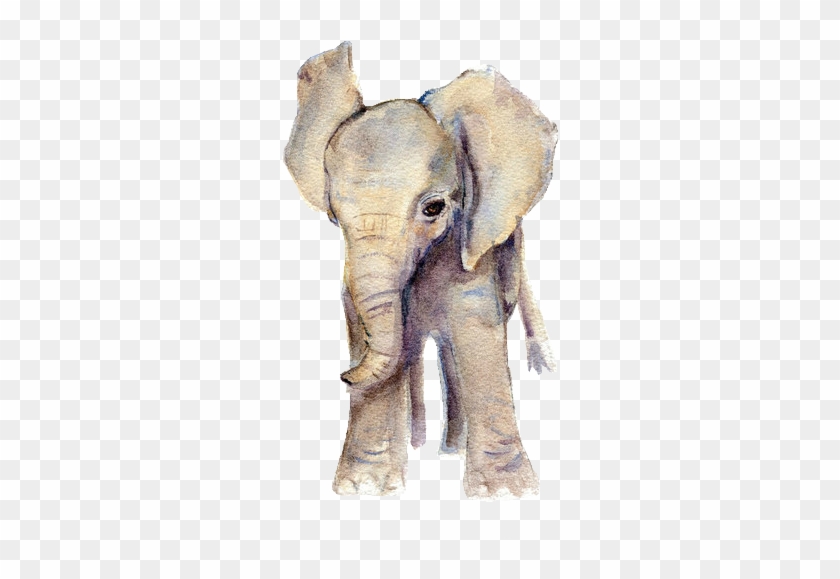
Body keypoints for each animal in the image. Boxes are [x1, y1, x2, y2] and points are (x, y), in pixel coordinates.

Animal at [285, 42, 557, 498]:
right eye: (335, 215)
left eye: (434, 208)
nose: (344, 375)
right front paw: (365, 489)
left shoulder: (471, 244)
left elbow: (474, 326)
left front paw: (505, 494)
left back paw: (451, 449)